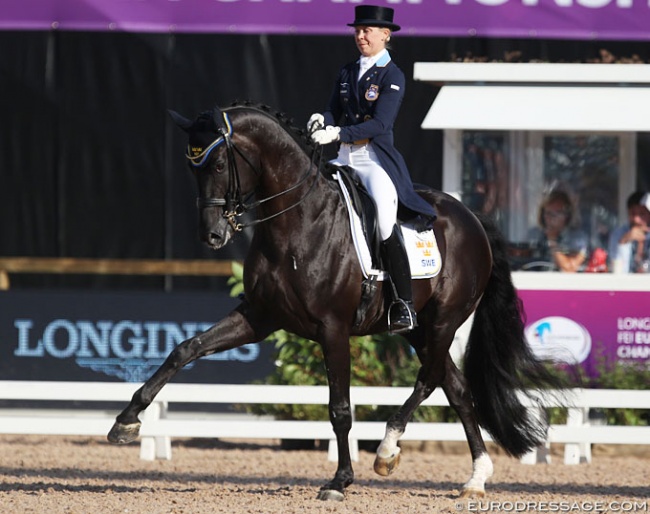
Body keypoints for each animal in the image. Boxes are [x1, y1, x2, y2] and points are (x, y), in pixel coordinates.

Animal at [107, 102, 560, 498]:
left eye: (218, 165)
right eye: (191, 166)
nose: (213, 235)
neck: (296, 222)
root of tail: (472, 217)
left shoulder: (333, 329)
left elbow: (340, 408)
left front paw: (340, 481)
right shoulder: (259, 317)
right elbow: (186, 349)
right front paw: (126, 422)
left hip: (444, 320)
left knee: (430, 379)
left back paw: (387, 450)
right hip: (416, 328)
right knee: (457, 387)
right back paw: (475, 479)